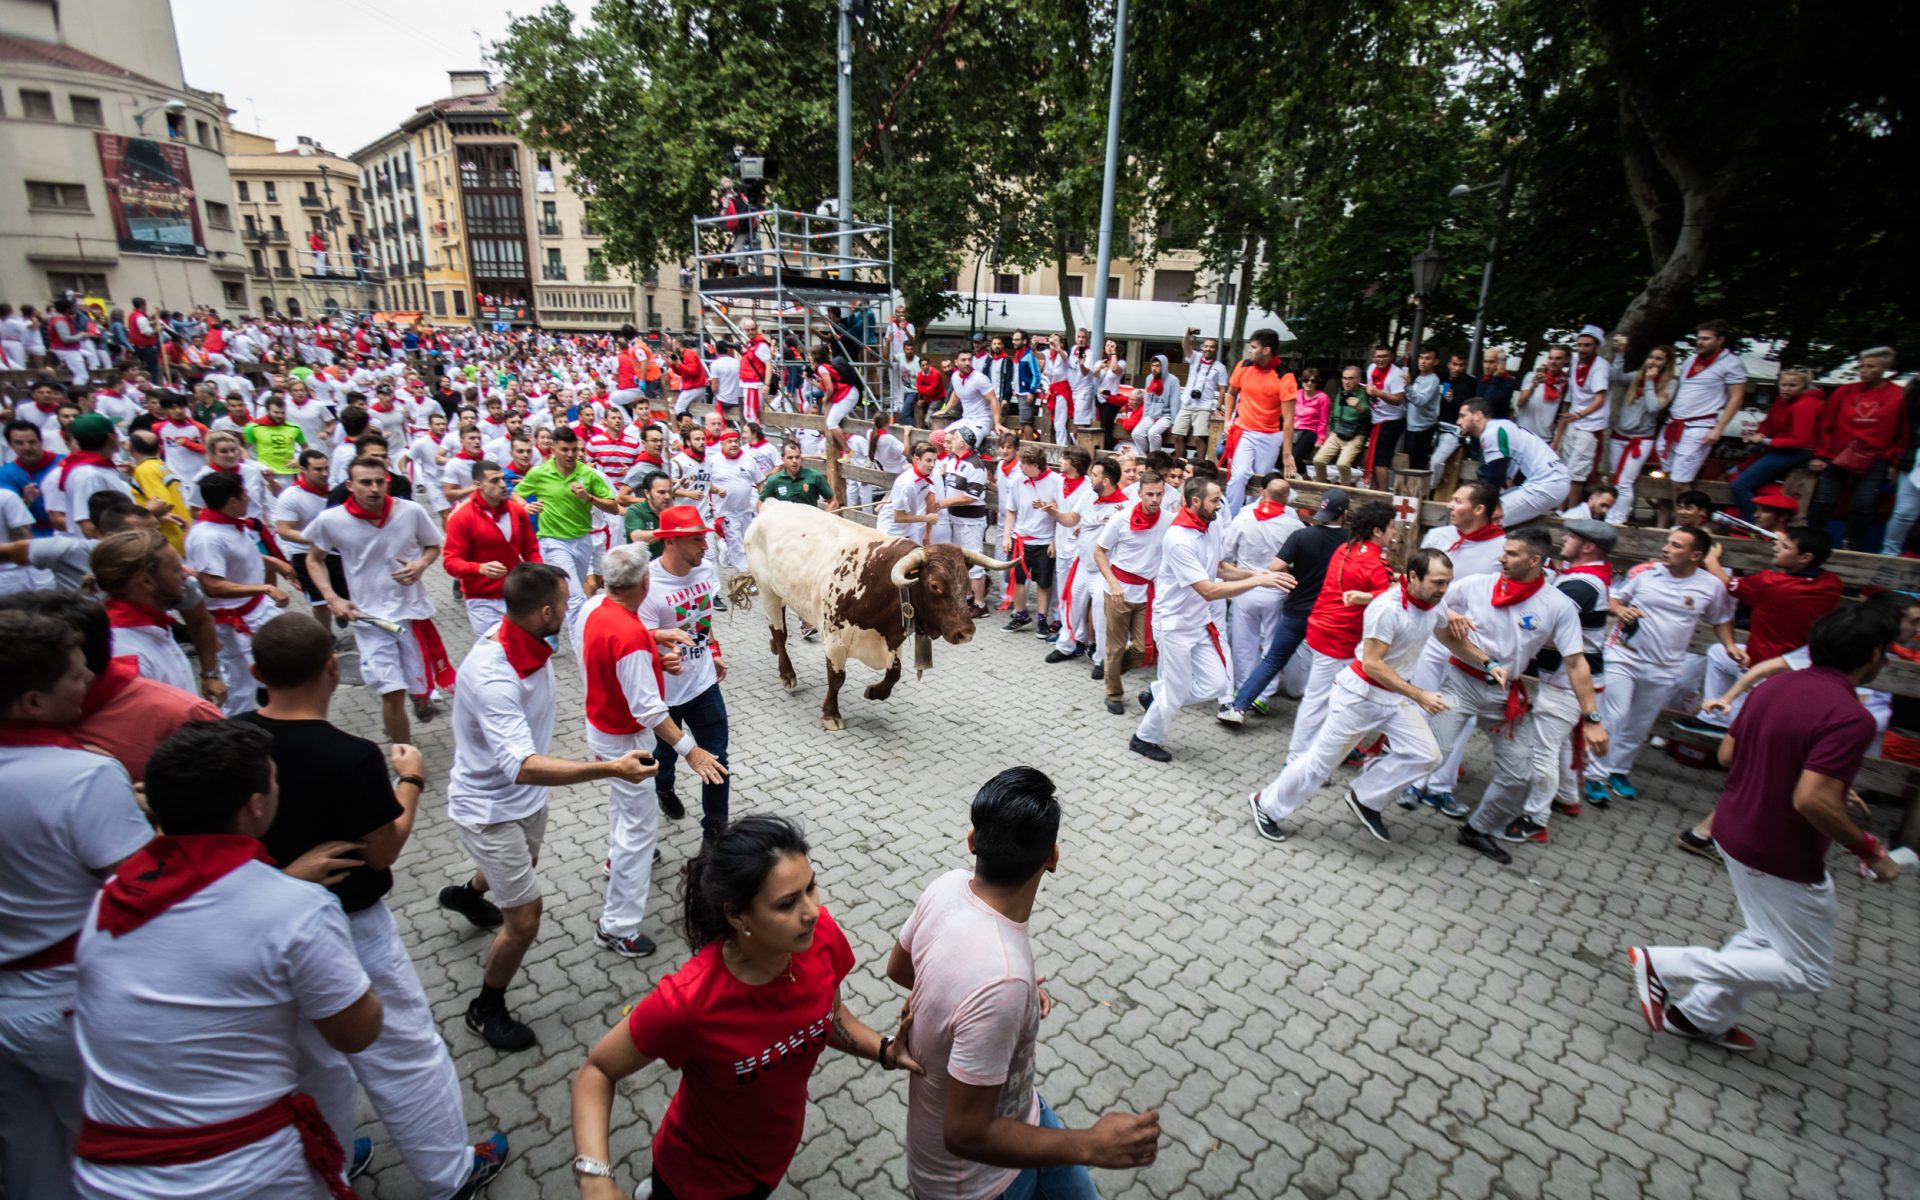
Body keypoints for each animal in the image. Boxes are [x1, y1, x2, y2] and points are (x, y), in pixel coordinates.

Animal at [728, 500, 1010, 729]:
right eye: (935, 585)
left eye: (966, 582)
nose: (966, 632)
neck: (879, 583)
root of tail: (773, 504)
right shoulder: (835, 641)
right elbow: (836, 678)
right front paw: (831, 714)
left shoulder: (893, 639)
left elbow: (894, 675)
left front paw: (874, 692)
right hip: (768, 590)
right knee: (779, 632)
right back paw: (787, 674)